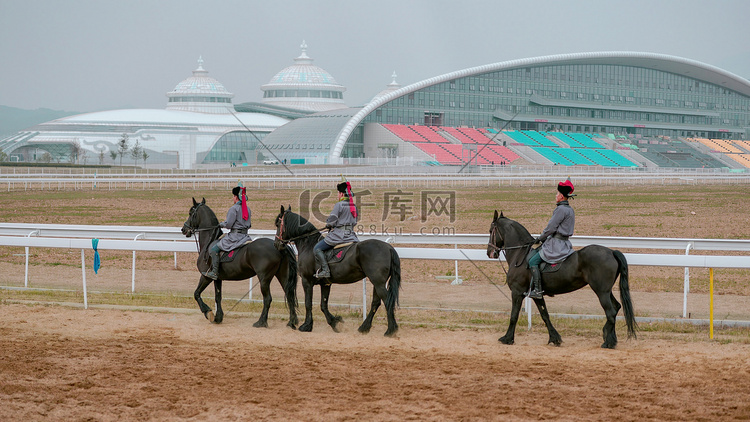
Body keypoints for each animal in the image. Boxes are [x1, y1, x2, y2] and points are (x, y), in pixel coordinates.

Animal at [182, 199, 300, 330]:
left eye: (190, 213)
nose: (183, 229)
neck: (209, 241)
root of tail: (279, 245)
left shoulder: (206, 276)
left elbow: (196, 293)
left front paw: (208, 313)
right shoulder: (218, 279)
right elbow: (218, 296)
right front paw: (218, 317)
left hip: (264, 279)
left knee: (268, 299)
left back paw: (261, 322)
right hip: (282, 275)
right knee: (289, 295)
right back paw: (291, 322)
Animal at [274, 205, 402, 336]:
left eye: (278, 224)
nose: (277, 244)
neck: (308, 245)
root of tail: (389, 248)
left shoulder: (306, 281)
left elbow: (308, 303)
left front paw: (306, 325)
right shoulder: (325, 284)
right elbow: (323, 305)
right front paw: (335, 322)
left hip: (378, 282)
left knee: (387, 301)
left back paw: (390, 330)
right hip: (377, 283)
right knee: (376, 302)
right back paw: (364, 327)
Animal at [488, 211, 640, 350]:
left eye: (490, 231)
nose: (489, 252)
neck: (520, 254)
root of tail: (611, 252)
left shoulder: (517, 292)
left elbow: (514, 315)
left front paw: (507, 338)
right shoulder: (536, 295)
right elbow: (545, 315)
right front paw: (554, 338)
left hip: (601, 292)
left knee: (611, 313)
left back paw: (607, 341)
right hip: (606, 291)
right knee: (616, 307)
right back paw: (611, 338)